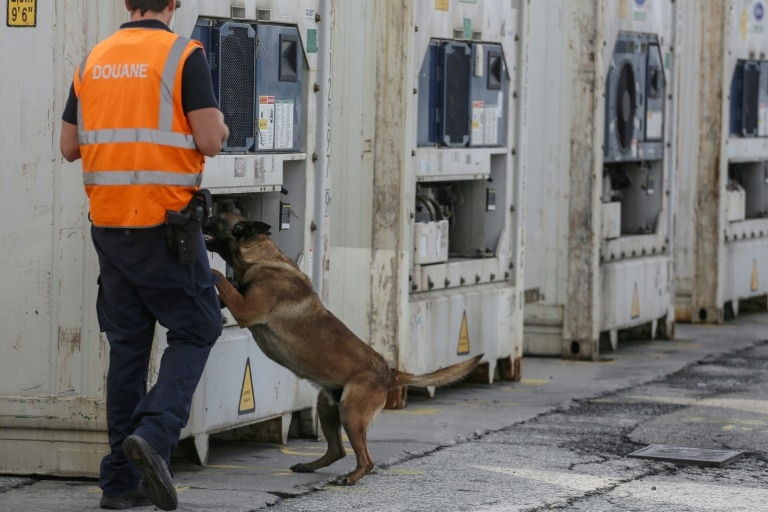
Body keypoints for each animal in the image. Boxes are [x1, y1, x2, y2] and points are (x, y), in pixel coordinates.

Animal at [204, 212, 480, 484]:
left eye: (217, 217)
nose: (200, 215)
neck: (262, 257)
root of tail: (389, 372)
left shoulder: (245, 310)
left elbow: (220, 277)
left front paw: (210, 270)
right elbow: (225, 286)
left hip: (350, 412)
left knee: (366, 459)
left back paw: (350, 477)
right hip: (327, 408)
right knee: (338, 450)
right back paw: (309, 465)